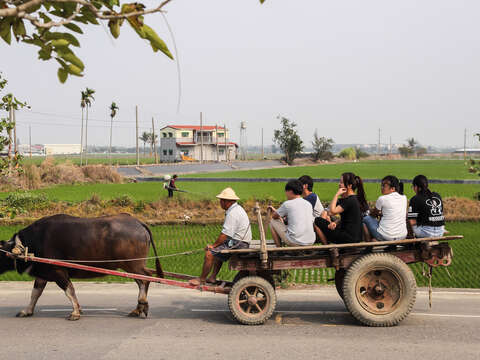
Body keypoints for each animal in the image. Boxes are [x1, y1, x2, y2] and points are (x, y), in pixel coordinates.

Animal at [0, 214, 163, 320]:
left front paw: (75, 312)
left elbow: (69, 291)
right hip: (131, 266)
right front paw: (26, 311)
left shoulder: (59, 272)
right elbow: (35, 294)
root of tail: (138, 223)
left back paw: (142, 305)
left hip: (133, 264)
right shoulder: (42, 274)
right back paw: (138, 309)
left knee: (146, 279)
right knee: (142, 281)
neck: (30, 245)